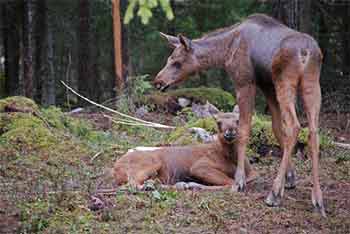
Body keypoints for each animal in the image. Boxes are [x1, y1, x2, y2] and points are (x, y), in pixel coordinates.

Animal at [114, 113, 258, 190]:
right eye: (218, 122)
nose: (230, 132)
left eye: (237, 120)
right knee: (131, 183)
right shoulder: (200, 166)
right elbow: (232, 183)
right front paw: (194, 185)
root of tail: (115, 168)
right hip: (150, 162)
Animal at [153, 13, 326, 217]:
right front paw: (290, 178)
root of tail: (306, 51)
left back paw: (274, 194)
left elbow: (244, 128)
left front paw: (240, 181)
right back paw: (317, 199)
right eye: (169, 59)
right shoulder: (267, 85)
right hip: (311, 83)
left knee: (294, 125)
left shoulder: (245, 82)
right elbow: (276, 128)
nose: (158, 81)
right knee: (313, 131)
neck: (225, 50)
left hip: (285, 81)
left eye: (177, 62)